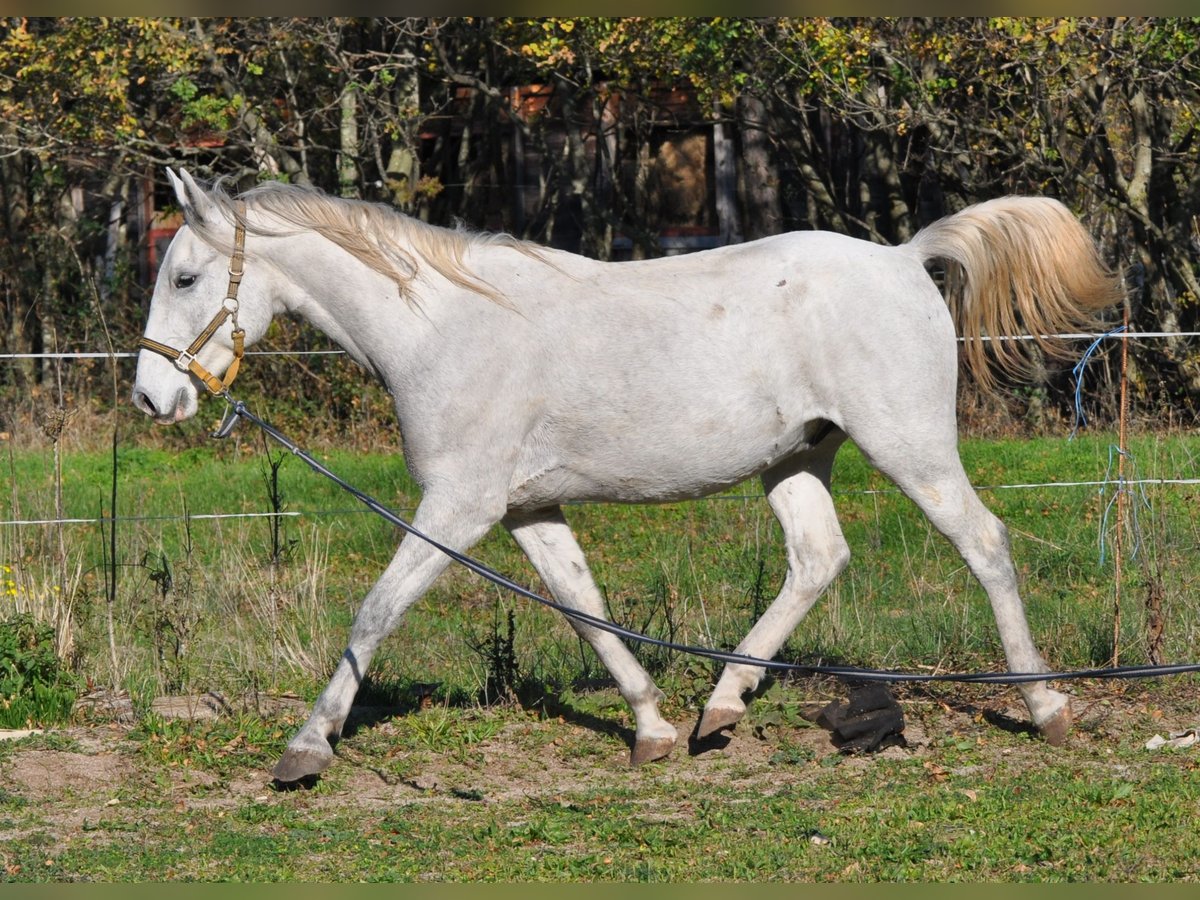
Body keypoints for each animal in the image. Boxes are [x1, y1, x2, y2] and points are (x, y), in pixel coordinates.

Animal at [136, 169, 1118, 782]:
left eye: (184, 277)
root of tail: (903, 256)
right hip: (797, 456)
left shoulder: (457, 507)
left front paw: (305, 750)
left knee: (983, 544)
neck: (443, 330)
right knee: (817, 558)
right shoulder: (526, 509)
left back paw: (1045, 707)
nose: (153, 397)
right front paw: (650, 731)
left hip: (908, 445)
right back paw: (719, 711)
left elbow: (375, 612)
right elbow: (586, 609)